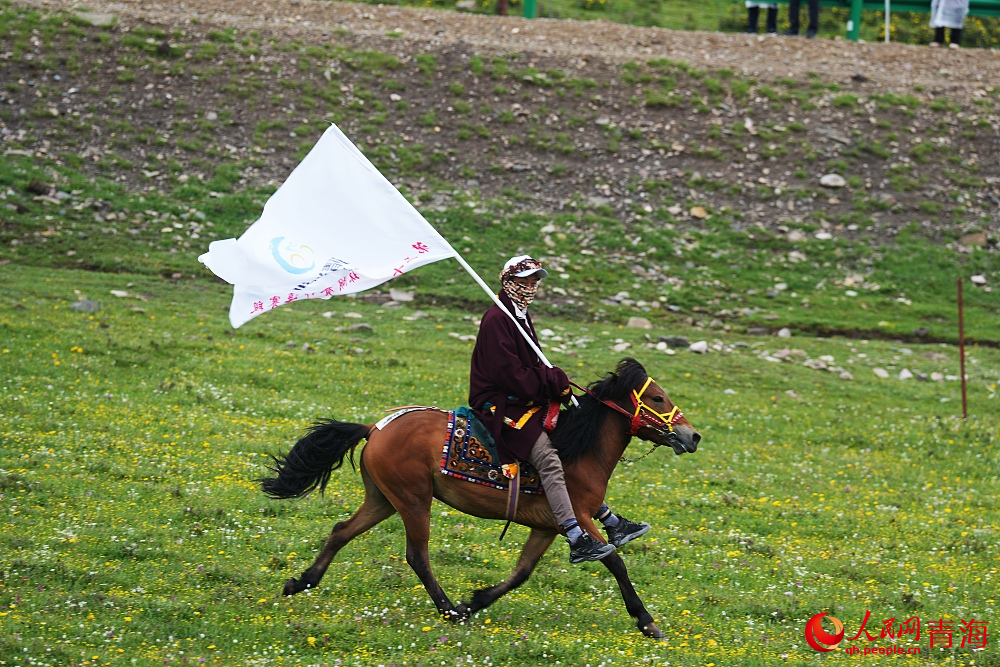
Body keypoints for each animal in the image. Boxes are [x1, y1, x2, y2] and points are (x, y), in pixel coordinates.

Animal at [266, 358, 704, 640]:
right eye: (659, 399)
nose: (694, 435)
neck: (578, 451)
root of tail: (375, 427)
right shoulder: (576, 517)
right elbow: (613, 562)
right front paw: (646, 621)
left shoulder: (547, 527)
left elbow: (521, 573)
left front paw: (476, 601)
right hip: (413, 500)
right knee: (416, 556)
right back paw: (448, 609)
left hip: (383, 499)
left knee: (341, 531)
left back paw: (301, 582)